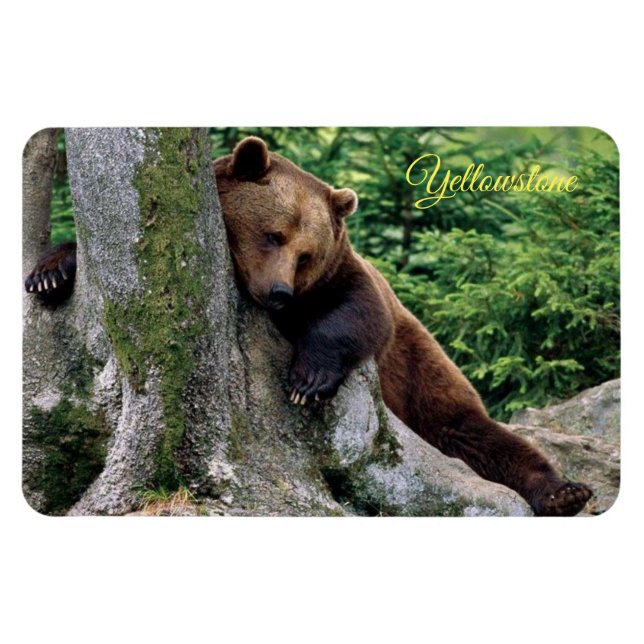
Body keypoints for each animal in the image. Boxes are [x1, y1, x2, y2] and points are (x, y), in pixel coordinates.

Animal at [25, 135, 593, 516]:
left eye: (306, 254)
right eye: (273, 234)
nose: (279, 293)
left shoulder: (343, 279)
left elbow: (358, 312)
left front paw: (307, 380)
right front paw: (49, 273)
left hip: (421, 373)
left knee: (474, 433)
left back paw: (564, 491)